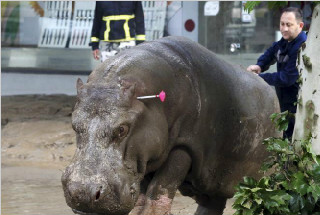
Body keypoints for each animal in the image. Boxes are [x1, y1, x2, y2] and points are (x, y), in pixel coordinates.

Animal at [60, 36, 280, 214]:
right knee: (212, 204)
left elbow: (159, 193)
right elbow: (143, 200)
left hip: (264, 174)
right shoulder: (145, 157)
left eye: (122, 129)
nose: (83, 193)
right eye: (74, 125)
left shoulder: (183, 146)